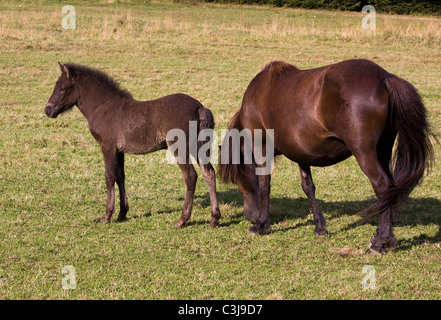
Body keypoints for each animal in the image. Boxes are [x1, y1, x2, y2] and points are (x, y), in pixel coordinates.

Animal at [44, 62, 220, 228]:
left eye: (63, 88)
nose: (48, 110)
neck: (104, 107)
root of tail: (199, 107)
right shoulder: (119, 150)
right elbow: (120, 176)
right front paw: (122, 213)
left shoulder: (107, 147)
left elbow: (109, 176)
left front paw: (106, 216)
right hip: (198, 147)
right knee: (209, 173)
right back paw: (214, 219)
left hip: (180, 147)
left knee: (190, 176)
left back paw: (182, 220)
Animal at [218, 58, 432, 254]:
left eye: (236, 178)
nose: (250, 215)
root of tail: (384, 78)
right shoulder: (301, 154)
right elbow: (308, 187)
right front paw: (319, 226)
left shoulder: (261, 148)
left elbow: (264, 186)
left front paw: (262, 224)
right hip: (383, 150)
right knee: (390, 189)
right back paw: (385, 237)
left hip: (365, 153)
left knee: (382, 185)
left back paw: (380, 243)